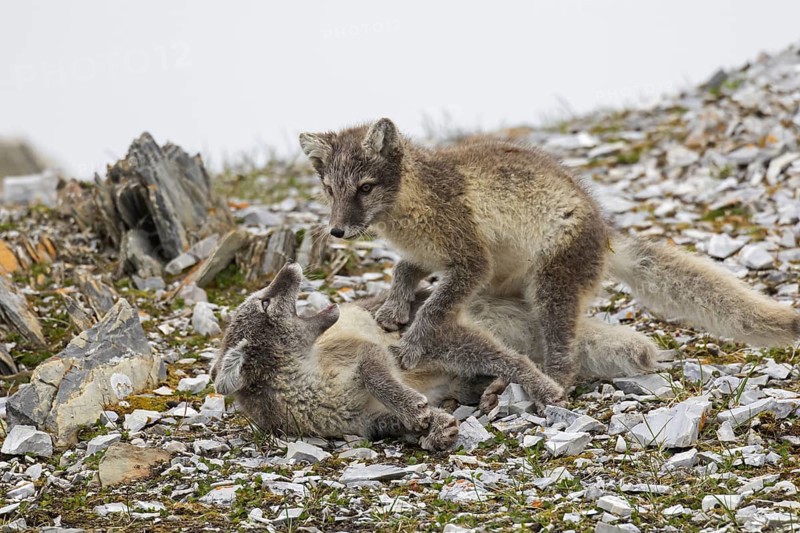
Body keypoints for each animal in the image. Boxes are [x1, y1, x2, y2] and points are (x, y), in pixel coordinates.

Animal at [210, 261, 669, 449]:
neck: (307, 383)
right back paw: (492, 393)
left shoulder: (366, 354)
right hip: (458, 367)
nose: (290, 266)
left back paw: (542, 389)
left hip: (443, 343)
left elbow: (380, 377)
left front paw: (417, 409)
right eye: (265, 302)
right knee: (500, 367)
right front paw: (434, 430)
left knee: (514, 359)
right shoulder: (365, 425)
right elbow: (399, 426)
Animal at [298, 118, 800, 394]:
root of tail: (605, 233)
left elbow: (438, 307)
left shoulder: (470, 259)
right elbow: (404, 269)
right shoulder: (434, 254)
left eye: (365, 187)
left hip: (552, 285)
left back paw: (544, 386)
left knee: (566, 358)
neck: (411, 207)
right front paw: (393, 308)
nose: (337, 230)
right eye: (330, 190)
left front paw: (413, 343)